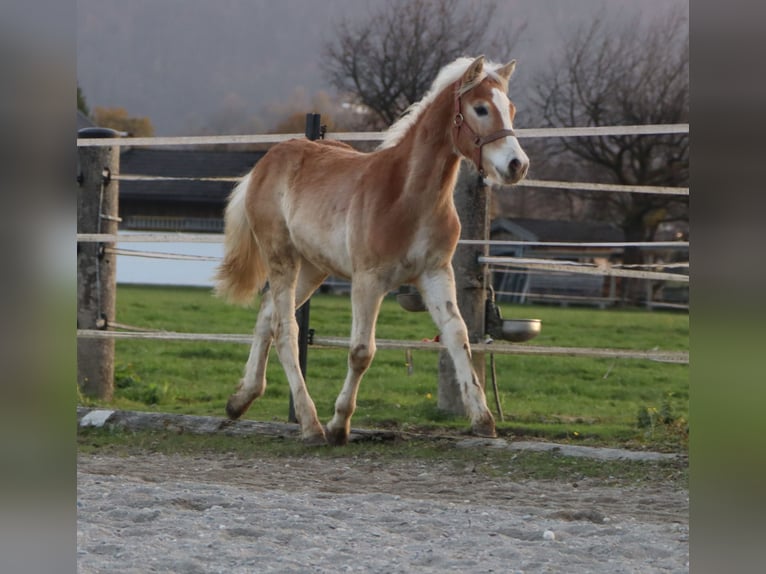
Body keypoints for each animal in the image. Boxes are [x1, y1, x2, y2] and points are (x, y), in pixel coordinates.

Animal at [214, 56, 528, 448]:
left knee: (266, 315)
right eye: (481, 108)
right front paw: (339, 425)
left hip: (313, 267)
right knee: (285, 329)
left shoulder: (436, 273)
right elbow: (361, 351)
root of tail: (264, 164)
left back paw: (240, 400)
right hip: (281, 257)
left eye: (511, 109)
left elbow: (458, 336)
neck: (408, 196)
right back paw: (310, 425)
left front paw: (483, 420)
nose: (517, 165)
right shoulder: (368, 280)